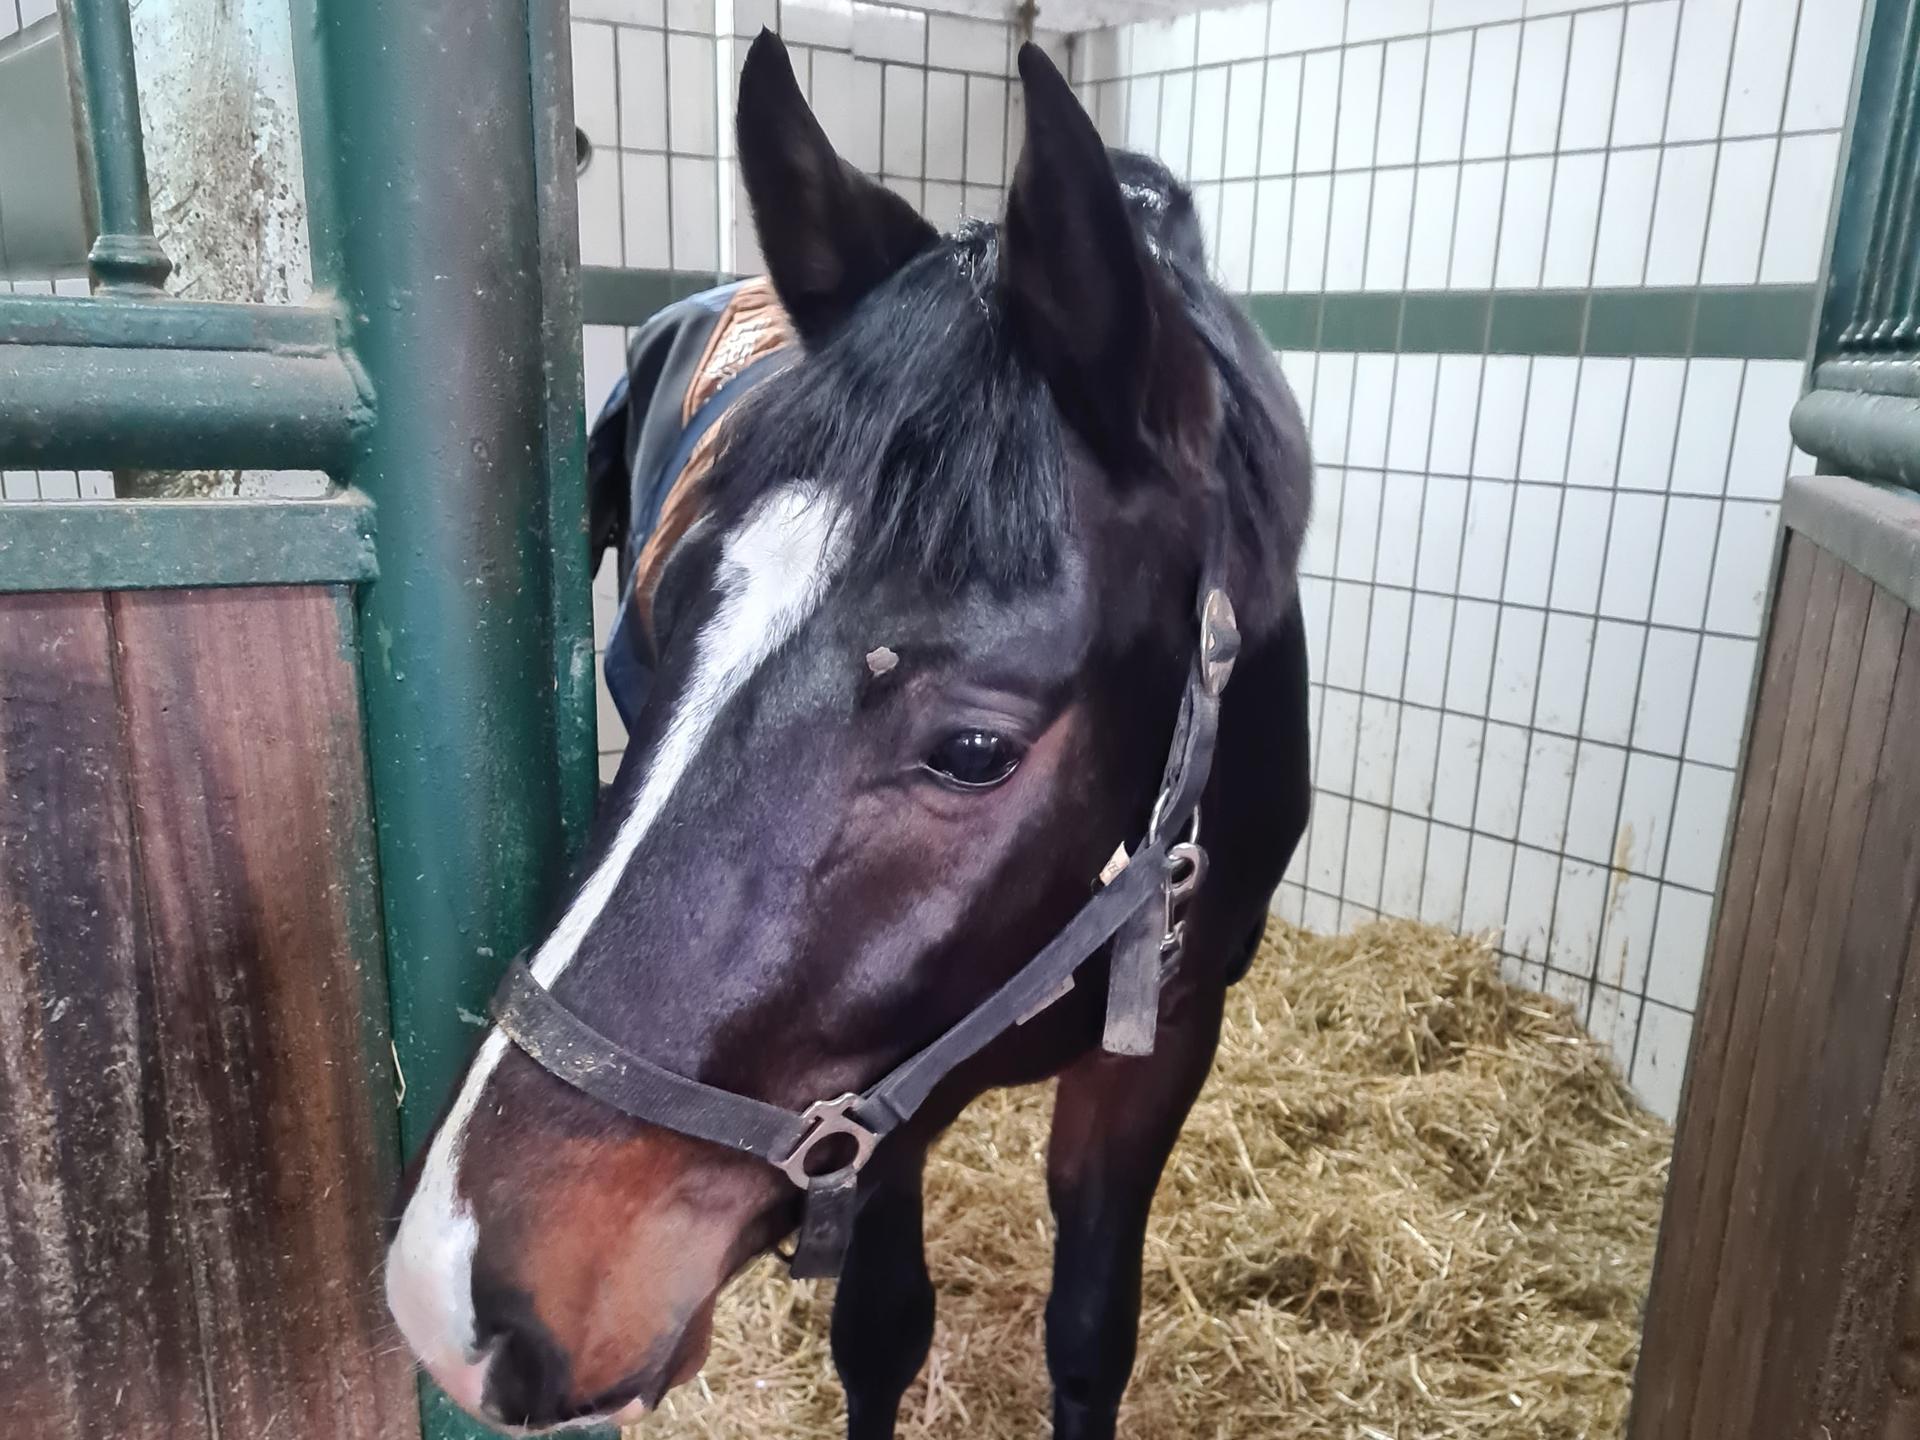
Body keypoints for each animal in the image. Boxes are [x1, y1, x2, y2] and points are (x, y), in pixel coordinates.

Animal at [384, 32, 1312, 1437]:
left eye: (975, 751)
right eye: (676, 611)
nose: (451, 1291)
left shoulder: (1162, 1049)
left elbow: (1090, 1337)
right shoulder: (884, 1111)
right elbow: (881, 1333)